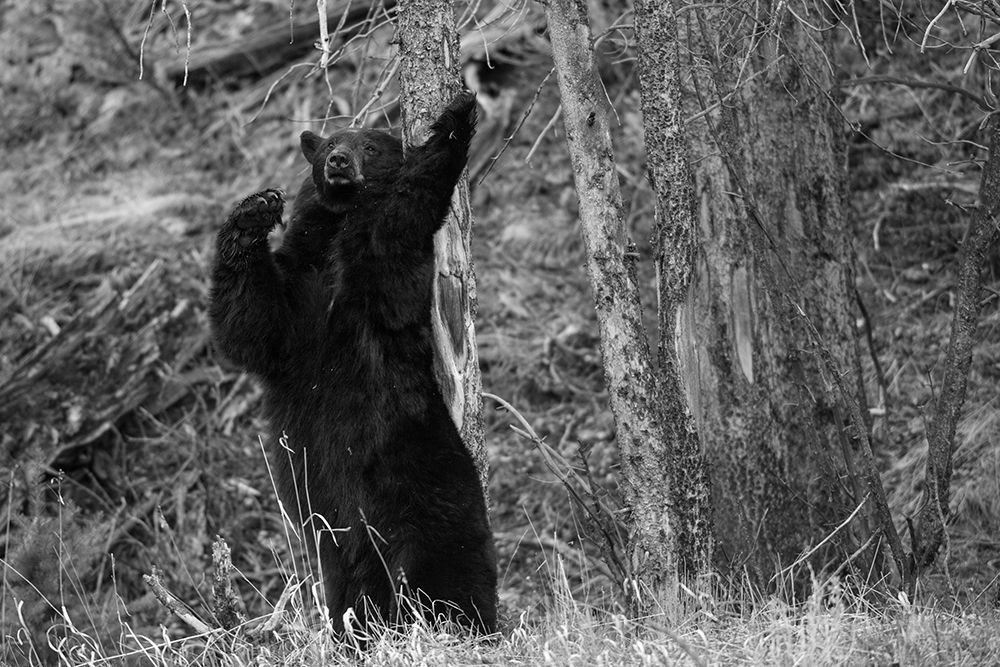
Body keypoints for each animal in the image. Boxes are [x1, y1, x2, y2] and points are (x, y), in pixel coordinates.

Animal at [209, 91, 497, 638]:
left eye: (370, 146)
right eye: (329, 145)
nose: (340, 161)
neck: (336, 228)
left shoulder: (380, 286)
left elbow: (392, 234)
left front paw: (455, 120)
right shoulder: (297, 292)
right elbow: (251, 325)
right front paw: (254, 211)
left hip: (426, 483)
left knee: (450, 560)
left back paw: (464, 624)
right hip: (332, 533)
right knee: (351, 586)